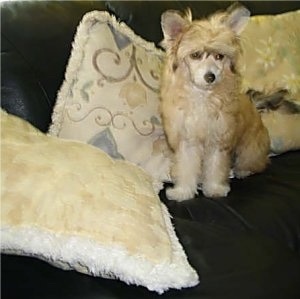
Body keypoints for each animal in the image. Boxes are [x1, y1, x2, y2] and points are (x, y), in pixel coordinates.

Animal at [159, 3, 270, 202]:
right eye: (195, 55)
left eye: (219, 56)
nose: (210, 76)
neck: (203, 95)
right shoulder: (187, 140)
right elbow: (186, 167)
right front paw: (183, 191)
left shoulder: (219, 140)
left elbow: (216, 167)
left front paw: (215, 188)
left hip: (250, 149)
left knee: (255, 161)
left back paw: (243, 171)